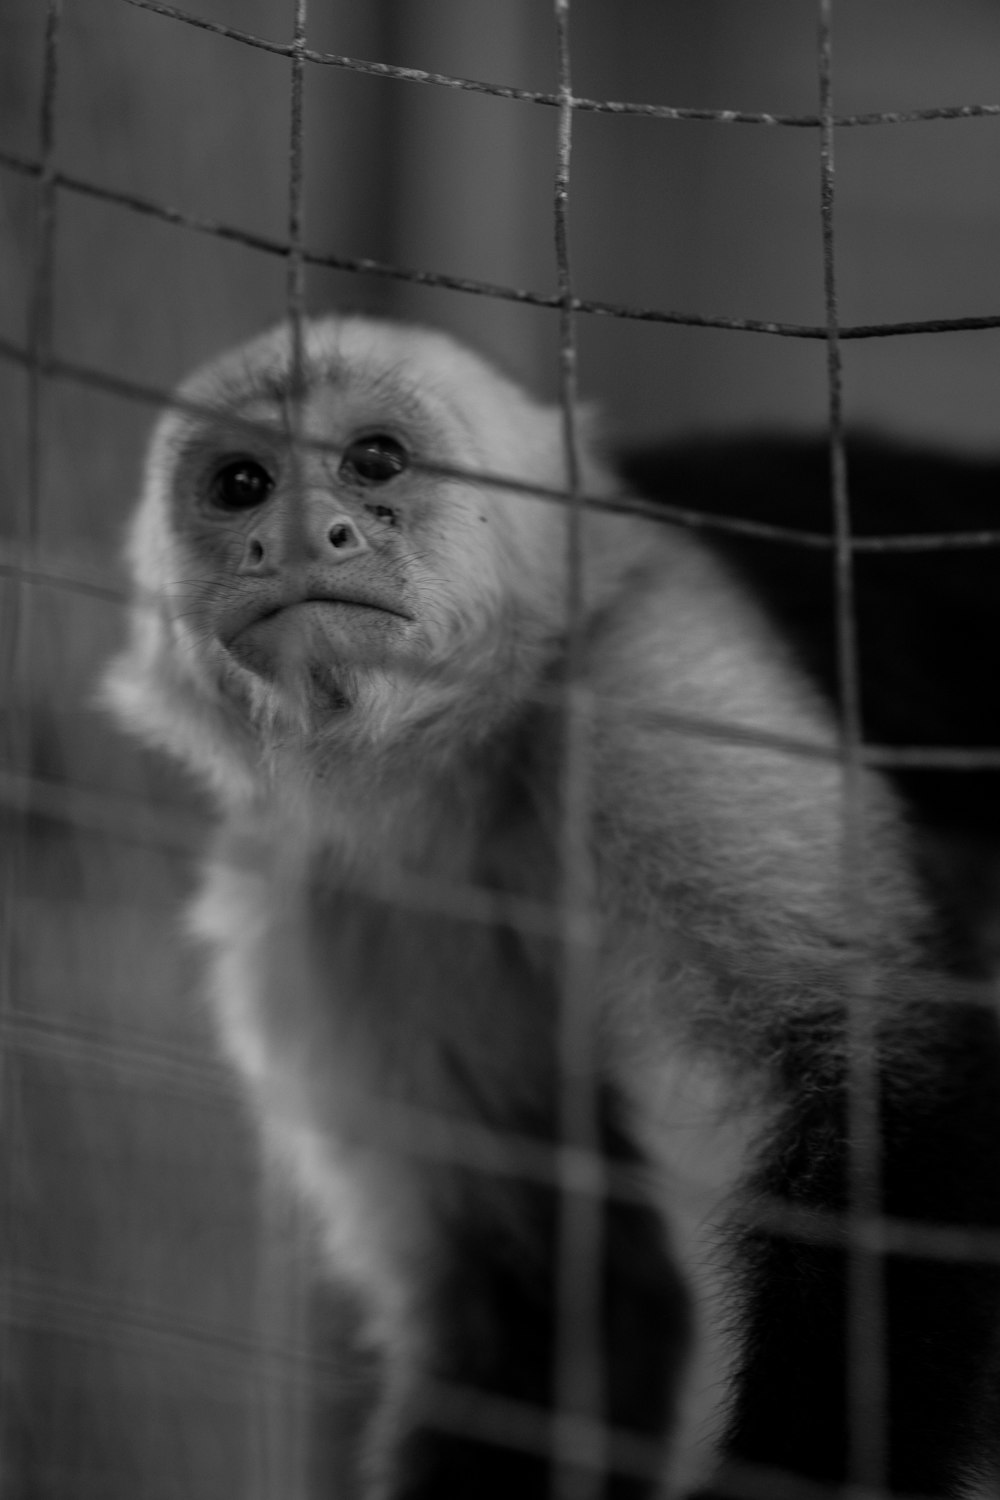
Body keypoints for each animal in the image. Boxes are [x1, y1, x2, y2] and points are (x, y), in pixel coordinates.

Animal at [103, 310, 1000, 1494]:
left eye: (375, 460)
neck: (468, 751)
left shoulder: (648, 683)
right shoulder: (329, 905)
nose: (296, 536)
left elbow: (889, 1094)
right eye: (241, 483)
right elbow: (542, 1288)